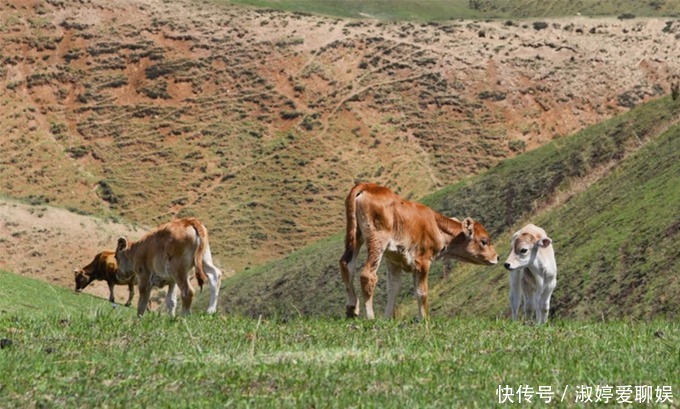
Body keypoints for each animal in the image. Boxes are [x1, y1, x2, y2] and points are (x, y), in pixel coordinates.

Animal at [340, 183, 500, 320]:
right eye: (484, 241)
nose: (497, 257)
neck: (436, 225)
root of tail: (368, 186)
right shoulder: (422, 261)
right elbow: (421, 292)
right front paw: (424, 319)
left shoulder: (393, 259)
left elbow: (393, 287)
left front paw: (386, 319)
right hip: (377, 240)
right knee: (368, 275)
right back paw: (370, 317)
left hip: (356, 235)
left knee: (346, 264)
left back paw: (352, 307)